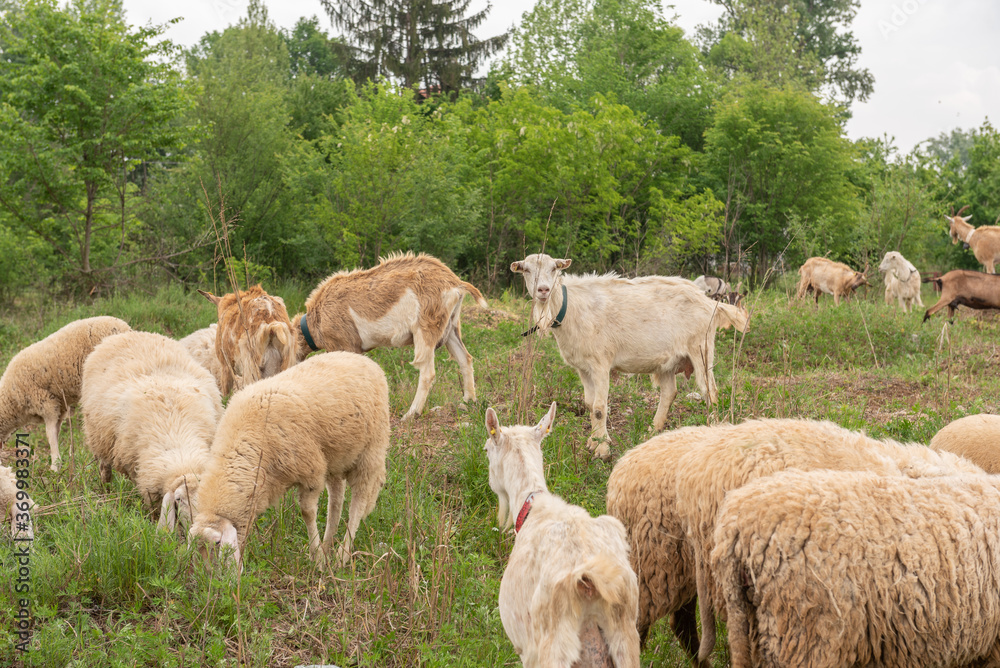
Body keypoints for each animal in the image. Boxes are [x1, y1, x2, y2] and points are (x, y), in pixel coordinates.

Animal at [0, 316, 131, 471]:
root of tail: (125, 327)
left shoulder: (46, 402)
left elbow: (50, 434)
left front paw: (55, 465)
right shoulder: (60, 405)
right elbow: (56, 431)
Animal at [188, 351, 390, 570]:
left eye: (217, 543)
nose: (217, 580)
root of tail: (362, 358)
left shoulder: (311, 470)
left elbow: (307, 512)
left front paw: (316, 559)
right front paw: (320, 554)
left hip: (371, 451)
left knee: (358, 504)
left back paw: (341, 555)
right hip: (335, 455)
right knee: (336, 499)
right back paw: (328, 545)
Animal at [290, 252, 488, 420]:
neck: (315, 318)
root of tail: (455, 283)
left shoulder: (346, 346)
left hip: (425, 330)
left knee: (427, 373)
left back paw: (411, 413)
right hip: (451, 329)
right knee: (465, 359)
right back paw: (468, 401)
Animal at [485, 402, 640, 668]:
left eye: (486, 450)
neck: (535, 504)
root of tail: (589, 580)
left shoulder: (526, 650)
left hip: (552, 648)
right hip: (625, 643)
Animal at [511, 253, 749, 460]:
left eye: (554, 269)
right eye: (527, 270)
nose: (543, 290)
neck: (570, 307)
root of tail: (710, 303)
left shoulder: (600, 363)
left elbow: (599, 408)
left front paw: (602, 450)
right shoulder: (582, 367)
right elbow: (589, 404)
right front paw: (593, 442)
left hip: (701, 349)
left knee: (710, 392)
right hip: (667, 362)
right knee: (669, 392)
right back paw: (652, 430)